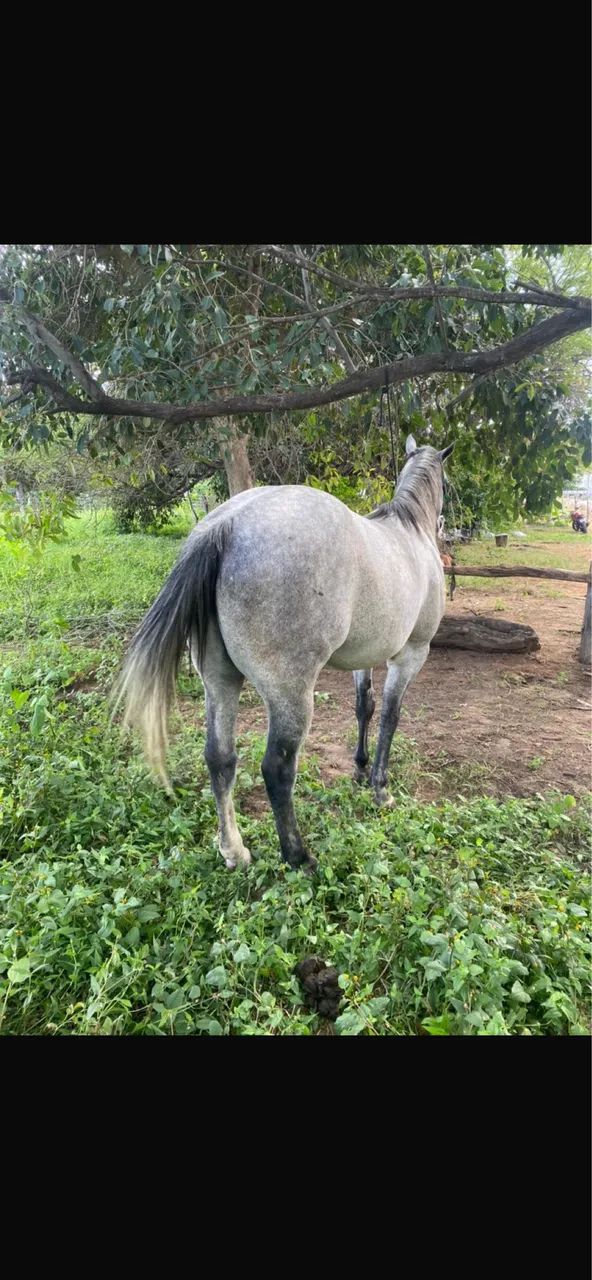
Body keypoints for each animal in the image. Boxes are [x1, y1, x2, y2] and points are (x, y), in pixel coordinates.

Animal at [114, 434, 453, 874]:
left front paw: (360, 770)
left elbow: (365, 707)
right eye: (448, 483)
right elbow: (390, 719)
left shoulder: (363, 659)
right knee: (276, 769)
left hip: (220, 682)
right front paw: (381, 789)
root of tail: (224, 526)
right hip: (291, 695)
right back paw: (298, 855)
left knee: (220, 759)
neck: (410, 532)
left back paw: (234, 850)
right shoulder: (410, 655)